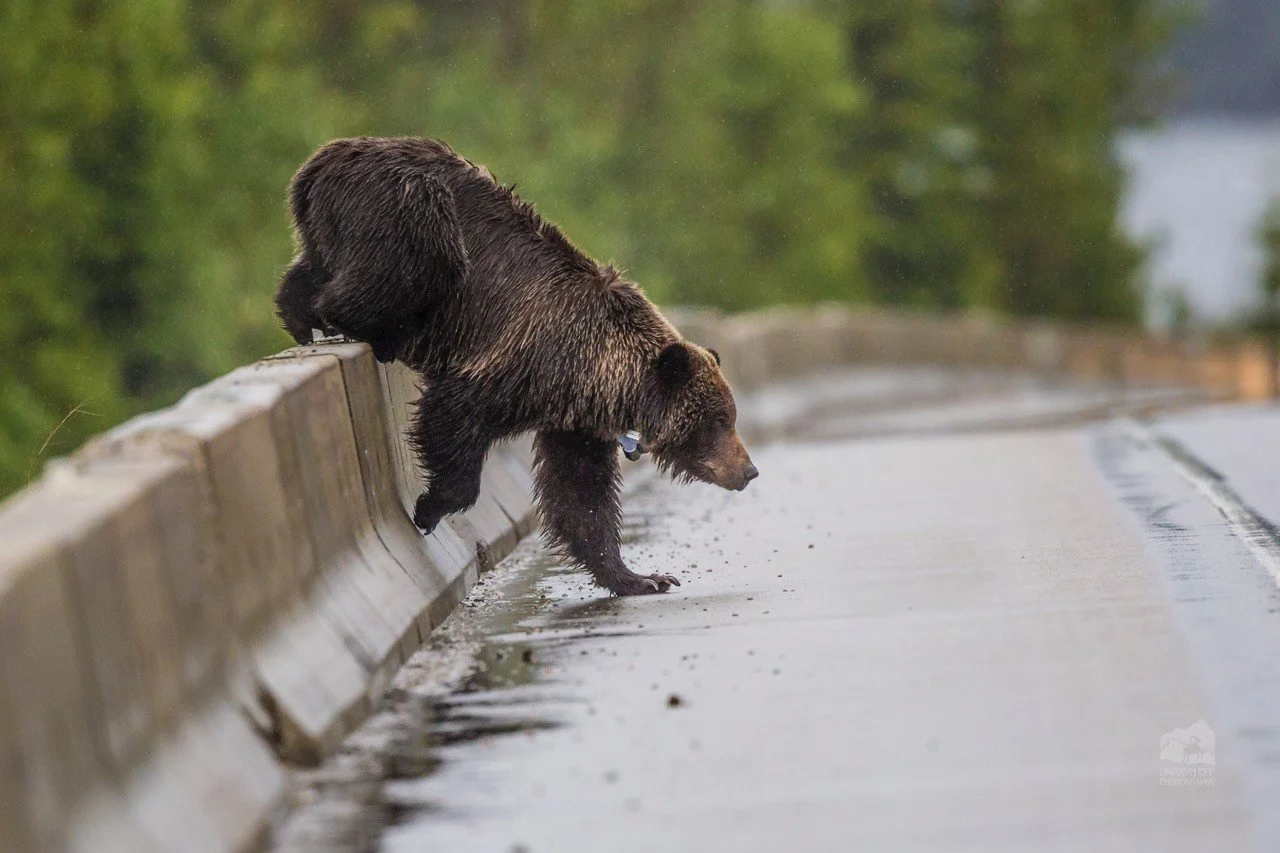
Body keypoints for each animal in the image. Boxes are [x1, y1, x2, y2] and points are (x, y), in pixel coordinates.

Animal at [276, 137, 758, 595]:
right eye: (717, 420)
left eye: (729, 417)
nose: (749, 470)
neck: (598, 375)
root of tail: (323, 159)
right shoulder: (521, 361)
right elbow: (452, 415)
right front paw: (429, 508)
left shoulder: (573, 421)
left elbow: (580, 492)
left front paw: (641, 576)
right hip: (405, 204)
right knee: (417, 261)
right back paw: (357, 328)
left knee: (315, 264)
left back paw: (299, 313)